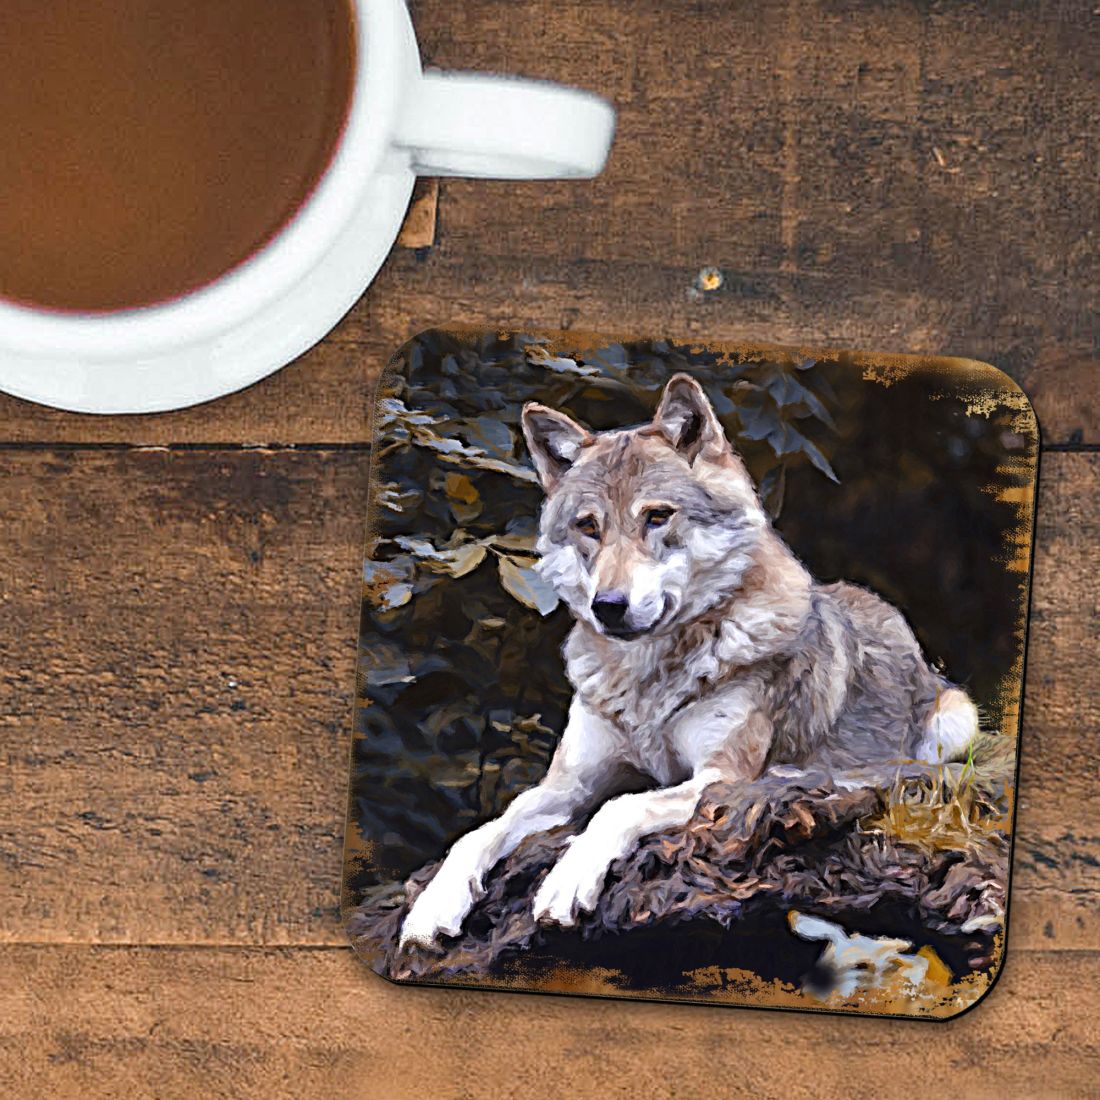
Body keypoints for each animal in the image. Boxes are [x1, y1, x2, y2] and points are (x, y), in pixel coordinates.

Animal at [399, 373, 978, 949]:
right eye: (589, 527)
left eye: (657, 517)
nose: (608, 606)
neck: (647, 678)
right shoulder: (566, 786)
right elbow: (482, 831)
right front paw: (431, 907)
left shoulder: (717, 777)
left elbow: (619, 806)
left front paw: (565, 883)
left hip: (957, 719)